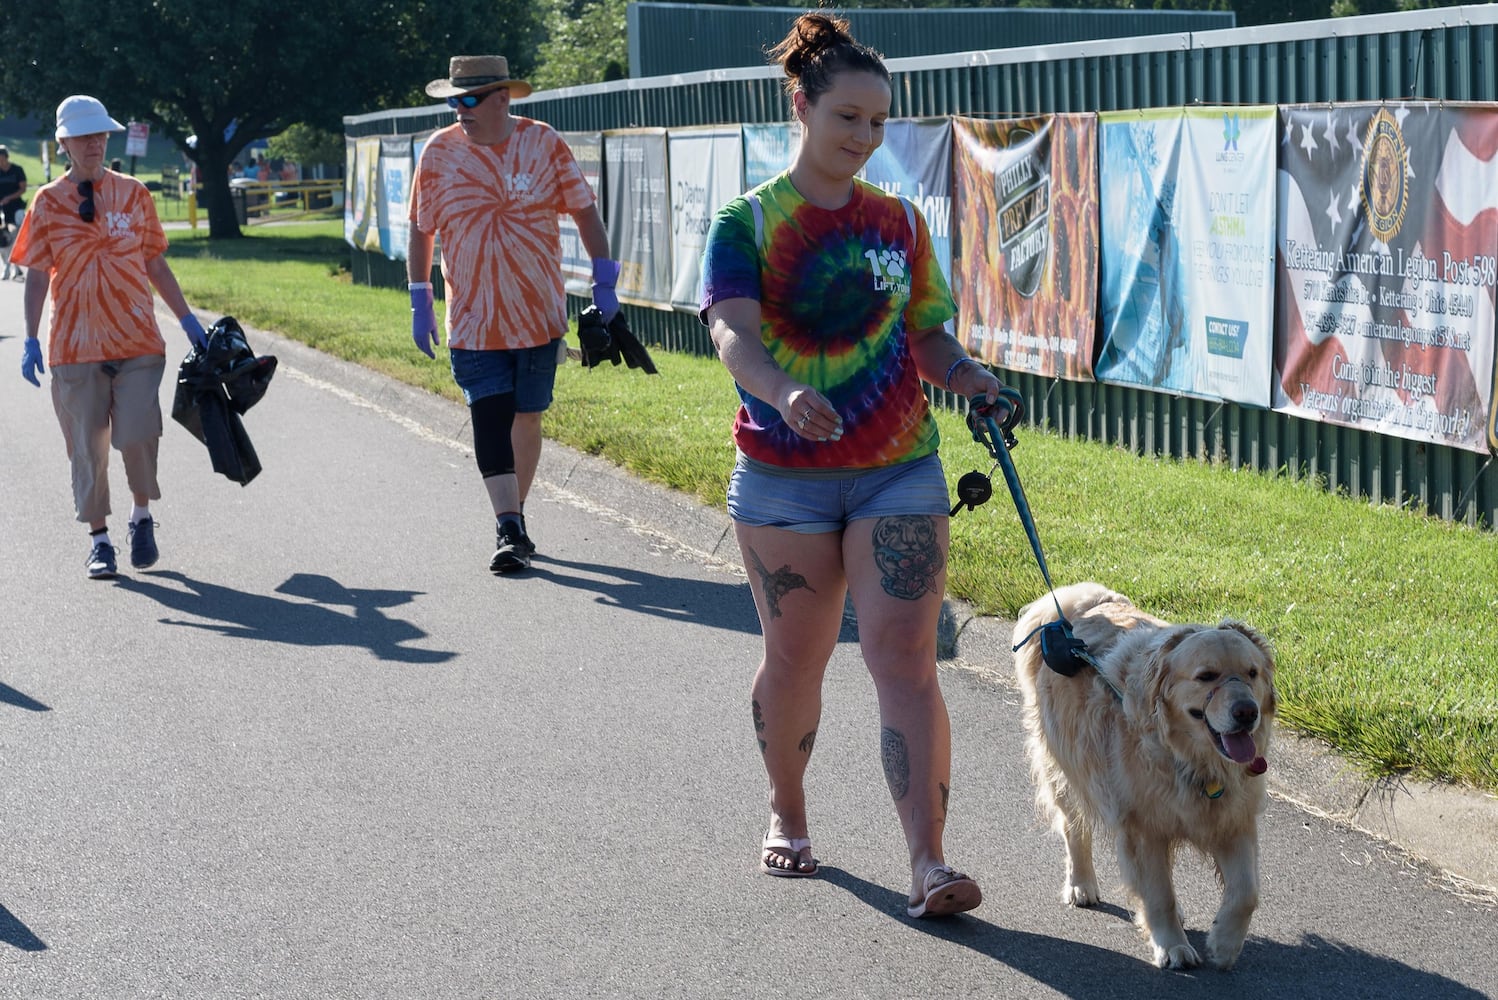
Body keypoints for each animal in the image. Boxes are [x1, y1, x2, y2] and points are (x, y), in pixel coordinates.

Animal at [1006, 577, 1276, 970]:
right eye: (1206, 676)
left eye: (1252, 673)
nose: (1247, 712)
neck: (1188, 758)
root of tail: (1075, 603)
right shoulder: (1143, 828)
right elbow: (1159, 894)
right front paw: (1172, 946)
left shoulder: (1234, 819)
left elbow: (1246, 893)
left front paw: (1224, 944)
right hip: (1068, 769)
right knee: (1074, 829)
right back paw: (1081, 884)